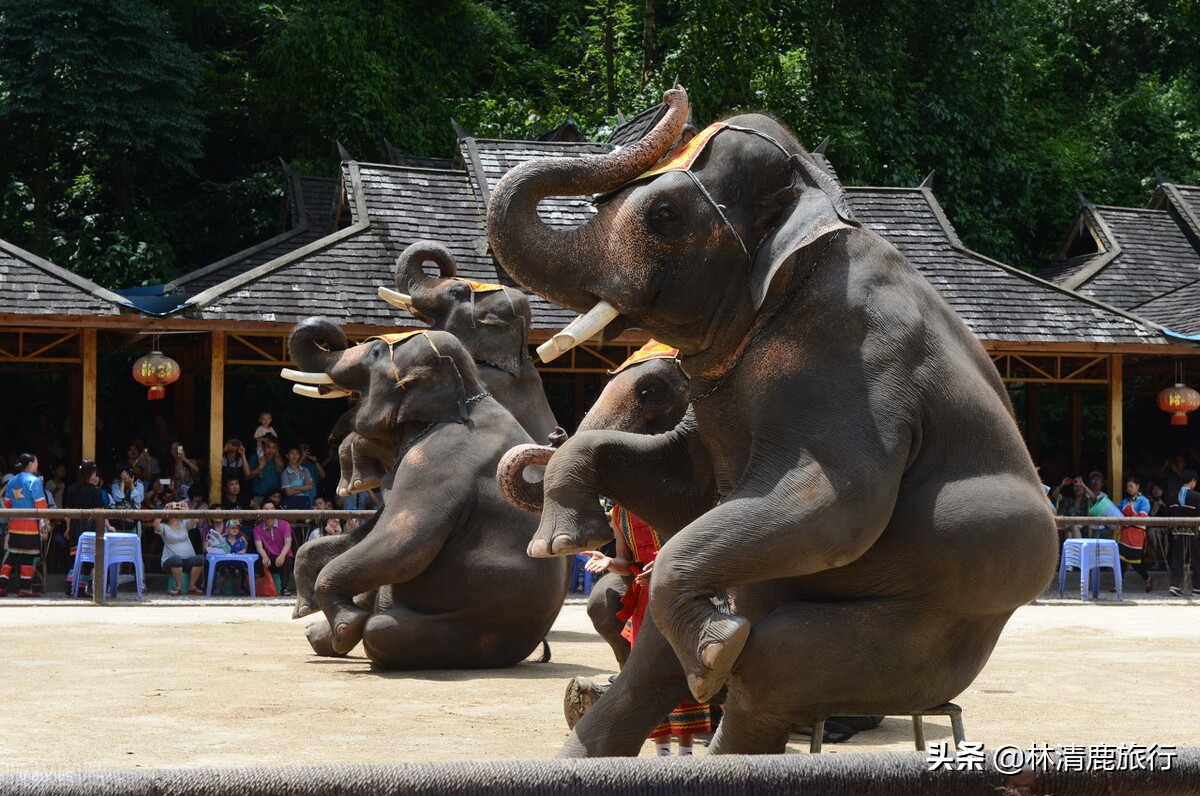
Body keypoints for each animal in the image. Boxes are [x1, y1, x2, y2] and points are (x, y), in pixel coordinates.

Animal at [280, 321, 566, 667]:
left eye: (376, 353)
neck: (468, 393)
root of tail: (531, 649)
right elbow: (367, 533)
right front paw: (303, 609)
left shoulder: (435, 462)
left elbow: (403, 547)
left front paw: (345, 627)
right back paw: (316, 635)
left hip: (474, 633)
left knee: (380, 630)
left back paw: (348, 631)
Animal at [482, 87, 1056, 753]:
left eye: (664, 217)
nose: (672, 93)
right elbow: (685, 488)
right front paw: (561, 542)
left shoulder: (853, 364)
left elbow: (838, 504)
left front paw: (714, 652)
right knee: (655, 666)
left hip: (936, 627)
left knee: (775, 665)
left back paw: (719, 659)